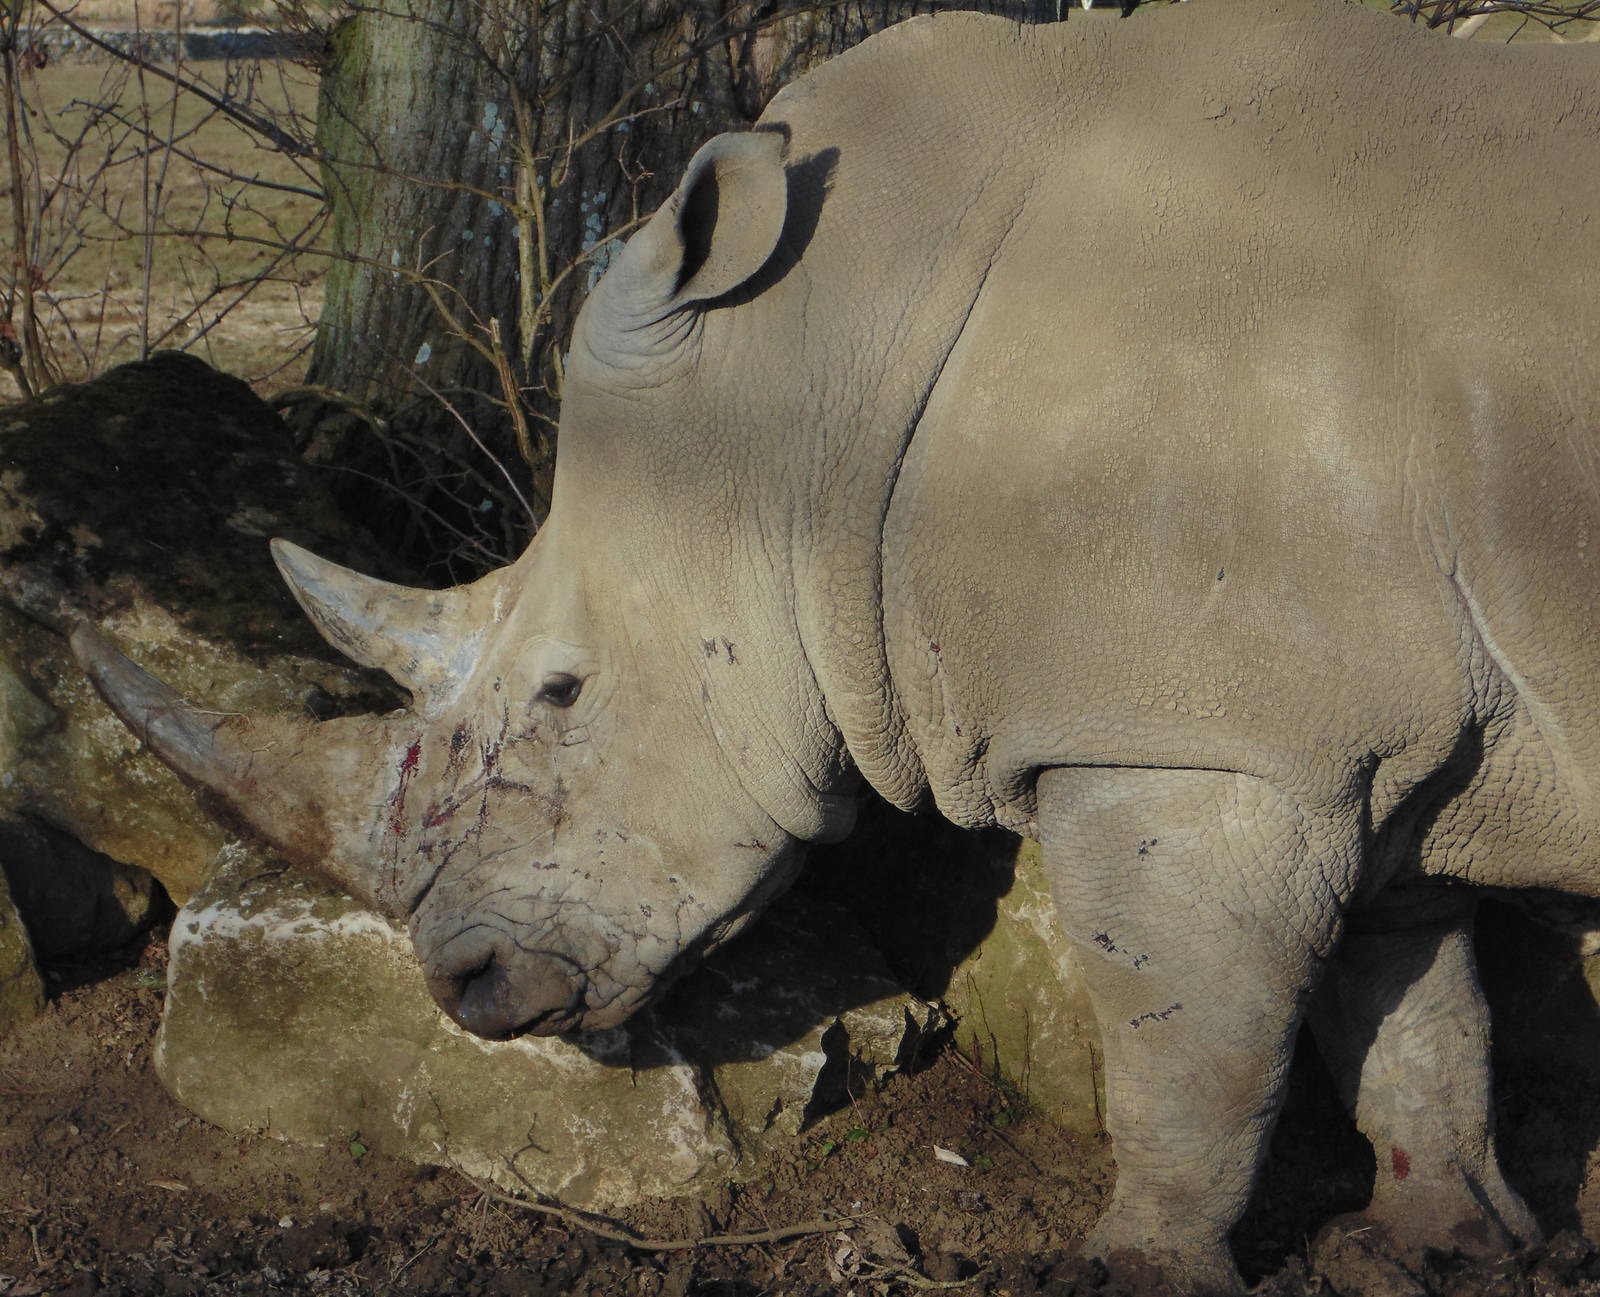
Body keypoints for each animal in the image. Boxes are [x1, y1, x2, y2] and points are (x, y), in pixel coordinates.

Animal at [71, 0, 1600, 1289]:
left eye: (564, 692)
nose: (466, 990)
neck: (812, 385)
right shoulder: (1361, 741)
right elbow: (1411, 1006)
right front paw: (1455, 1246)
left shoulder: (1189, 738)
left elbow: (1189, 1039)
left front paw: (1132, 1270)